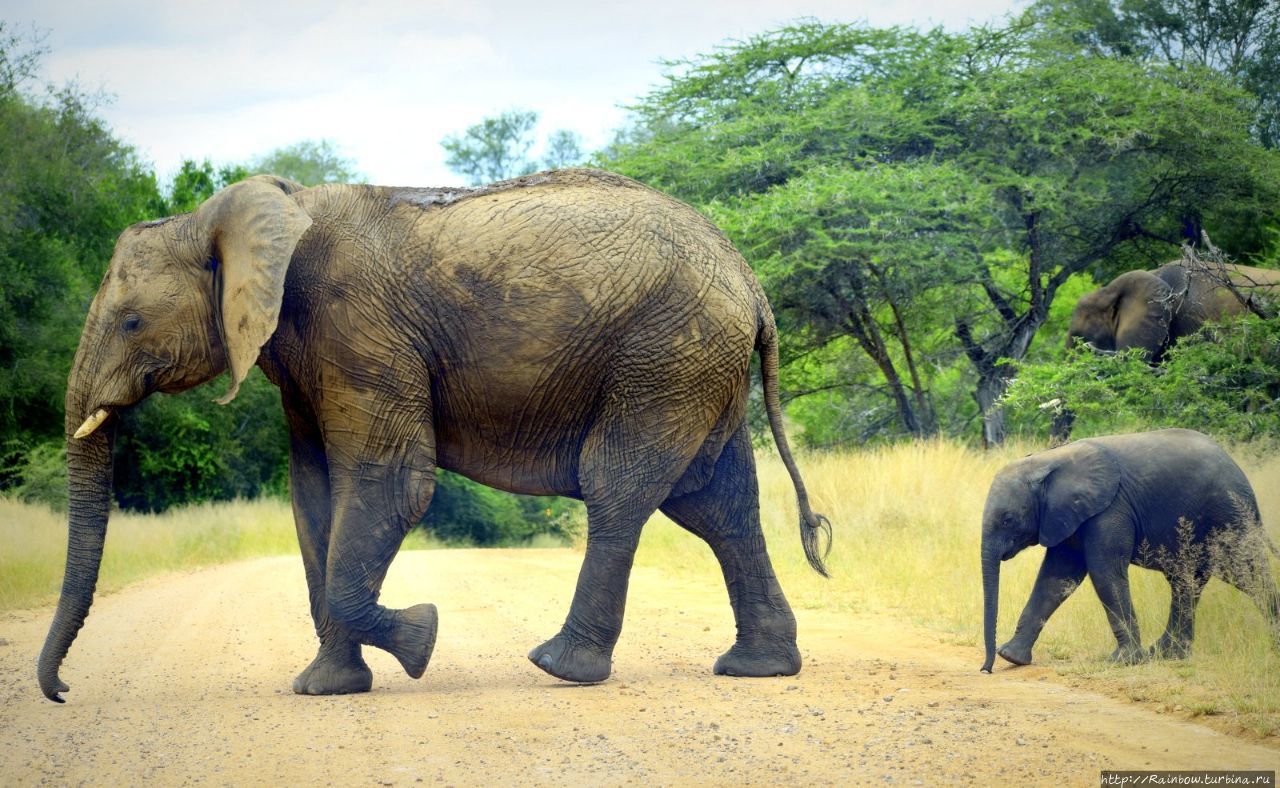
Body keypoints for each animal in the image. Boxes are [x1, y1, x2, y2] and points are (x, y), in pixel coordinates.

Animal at [37, 167, 829, 701]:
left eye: (131, 322)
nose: (63, 692)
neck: (240, 216)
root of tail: (750, 280)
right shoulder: (306, 358)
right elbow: (314, 498)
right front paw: (326, 688)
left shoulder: (357, 328)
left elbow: (391, 485)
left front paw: (421, 639)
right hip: (694, 361)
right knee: (716, 505)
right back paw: (758, 669)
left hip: (664, 355)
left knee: (622, 489)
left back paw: (559, 667)